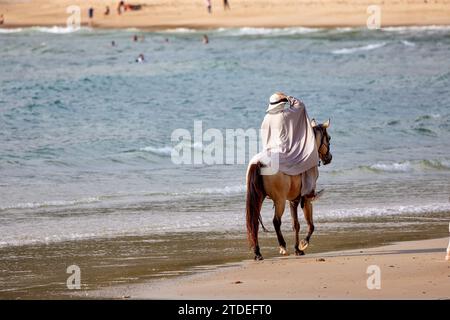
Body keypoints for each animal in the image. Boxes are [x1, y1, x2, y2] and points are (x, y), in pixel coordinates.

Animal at [246, 119, 330, 262]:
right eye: (329, 138)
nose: (329, 158)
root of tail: (259, 162)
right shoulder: (306, 200)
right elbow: (310, 225)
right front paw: (303, 244)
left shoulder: (293, 201)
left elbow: (295, 225)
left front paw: (297, 249)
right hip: (280, 200)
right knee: (276, 221)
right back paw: (282, 247)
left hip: (259, 198)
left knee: (255, 222)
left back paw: (258, 252)